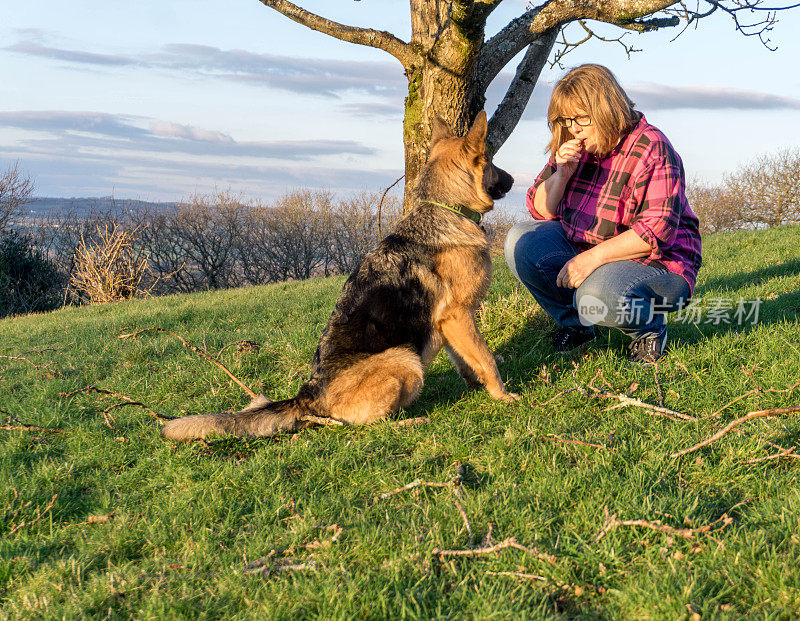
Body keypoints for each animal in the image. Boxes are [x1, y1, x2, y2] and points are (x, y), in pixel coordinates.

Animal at [159, 111, 516, 440]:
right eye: (491, 161)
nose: (513, 180)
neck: (445, 207)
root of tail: (306, 396)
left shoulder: (449, 323)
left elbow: (467, 359)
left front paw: (478, 387)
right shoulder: (458, 314)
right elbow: (486, 358)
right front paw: (503, 396)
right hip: (405, 360)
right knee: (365, 425)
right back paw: (410, 422)